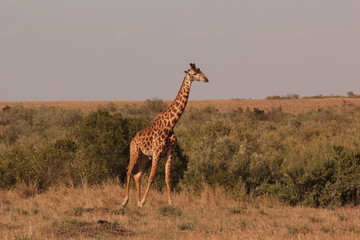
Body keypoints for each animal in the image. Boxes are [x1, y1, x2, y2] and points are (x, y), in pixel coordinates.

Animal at [122, 62, 210, 207]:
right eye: (193, 73)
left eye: (200, 71)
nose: (206, 79)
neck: (171, 124)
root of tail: (133, 140)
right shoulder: (157, 152)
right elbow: (152, 177)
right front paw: (144, 201)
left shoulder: (169, 152)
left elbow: (168, 178)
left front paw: (170, 202)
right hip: (134, 152)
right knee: (129, 171)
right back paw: (125, 201)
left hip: (144, 158)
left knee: (137, 175)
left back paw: (137, 202)